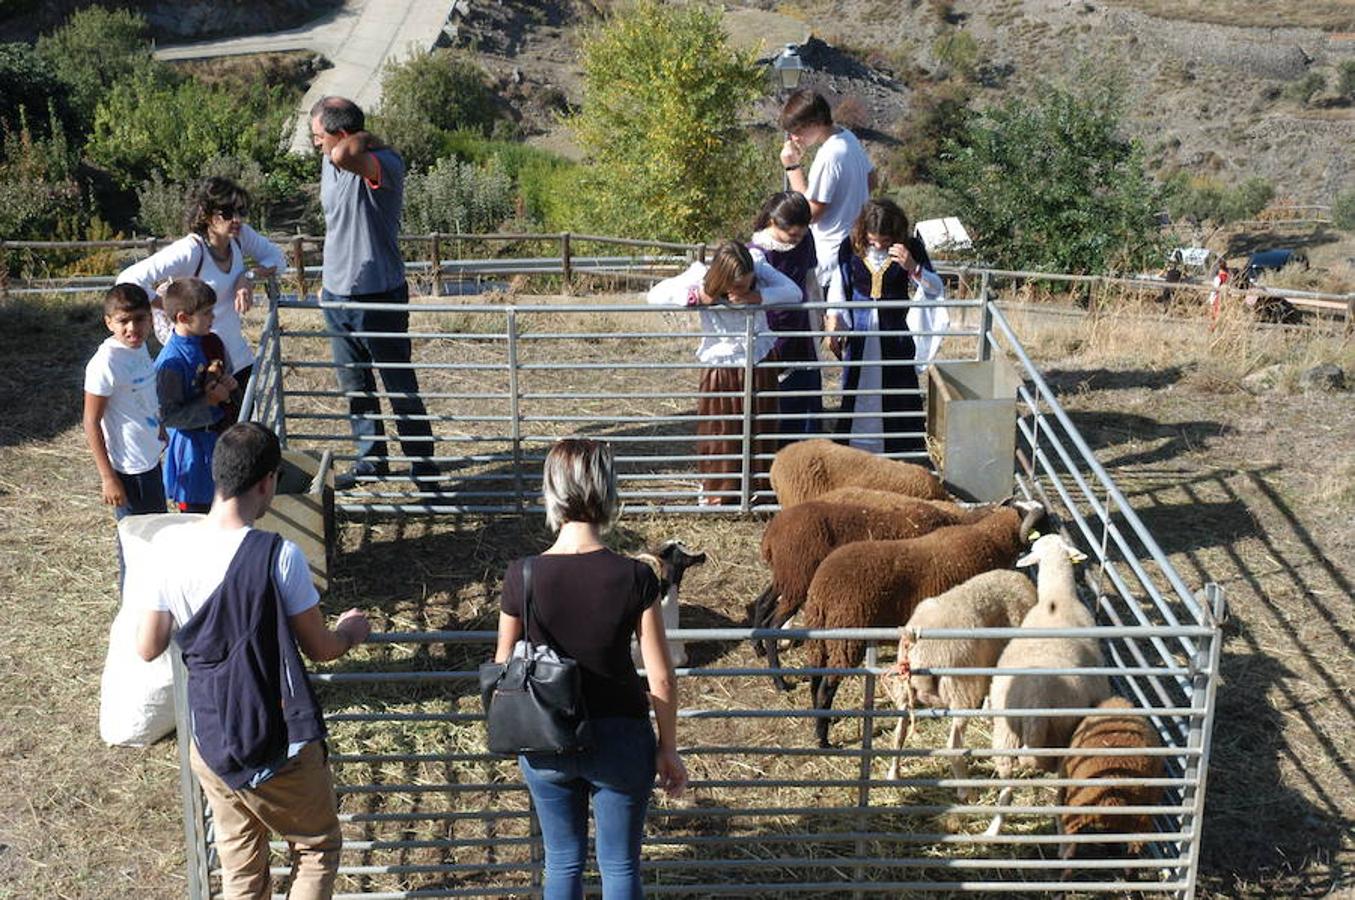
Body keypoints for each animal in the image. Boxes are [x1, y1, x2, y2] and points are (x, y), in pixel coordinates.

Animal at [796, 501, 1040, 748]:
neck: (992, 540)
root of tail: (821, 588)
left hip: (820, 637)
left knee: (815, 677)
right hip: (845, 637)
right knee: (826, 687)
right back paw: (823, 738)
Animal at [878, 569, 1035, 796]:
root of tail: (918, 648)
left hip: (904, 693)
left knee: (899, 733)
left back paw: (893, 774)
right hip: (961, 690)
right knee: (953, 745)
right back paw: (965, 791)